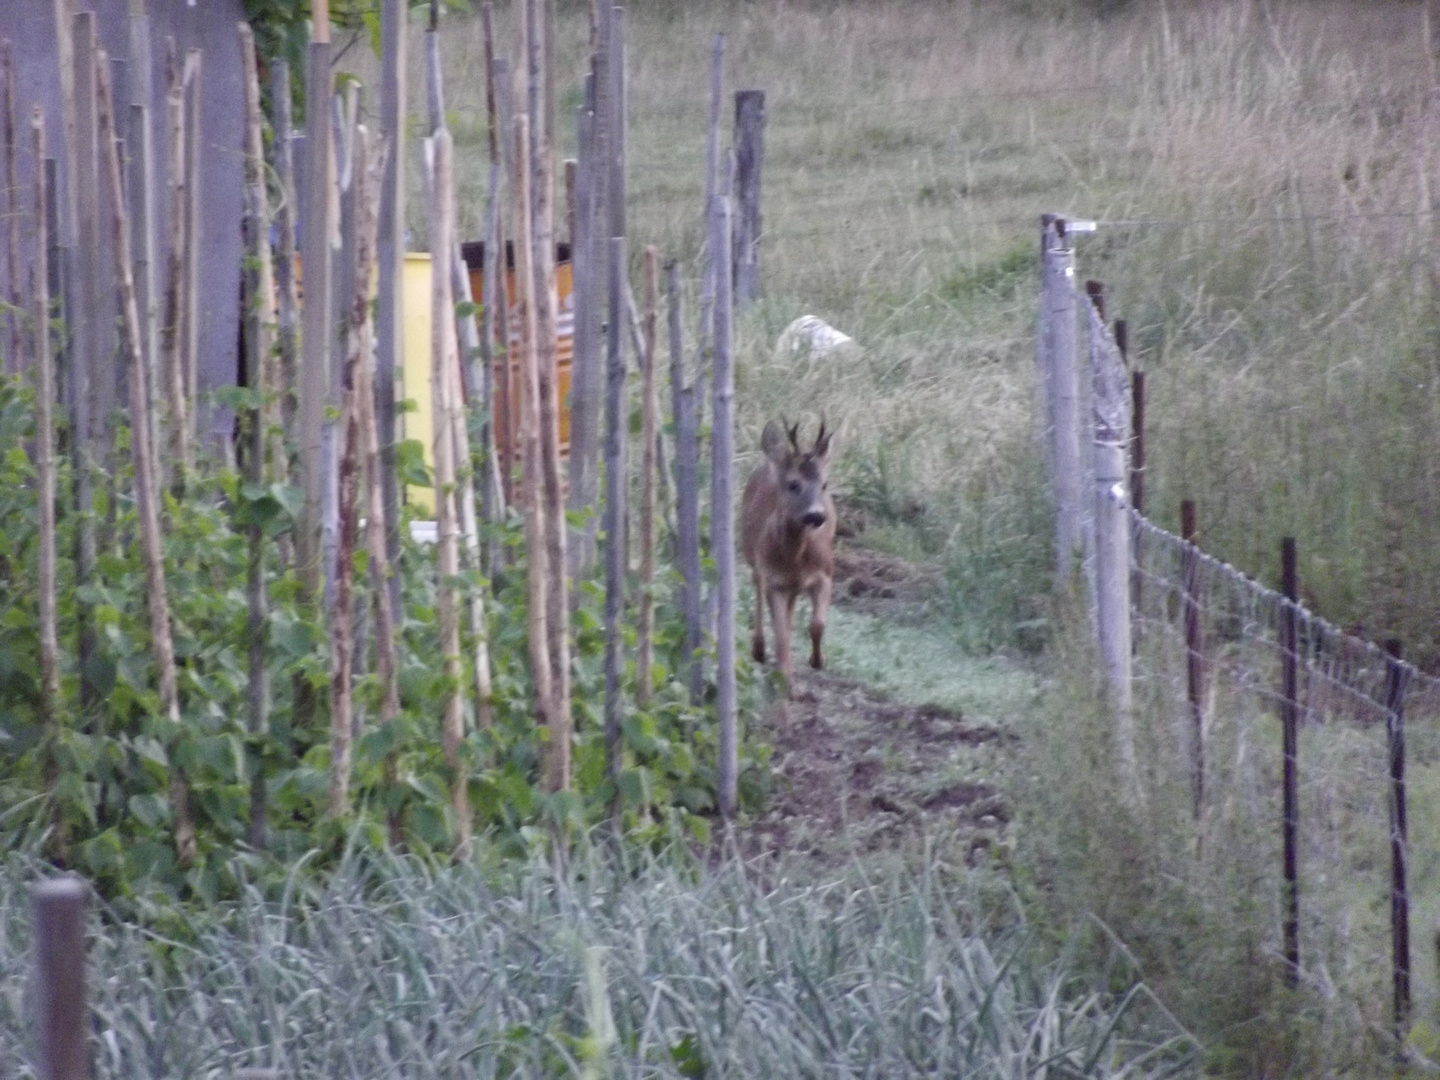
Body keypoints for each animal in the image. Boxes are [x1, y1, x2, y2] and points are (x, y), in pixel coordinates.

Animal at [743, 417, 835, 696]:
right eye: (793, 484)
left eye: (824, 484)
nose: (817, 515)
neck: (796, 559)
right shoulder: (773, 579)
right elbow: (781, 634)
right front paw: (785, 679)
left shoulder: (825, 574)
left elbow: (817, 625)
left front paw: (818, 660)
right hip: (751, 554)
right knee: (758, 589)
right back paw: (759, 649)